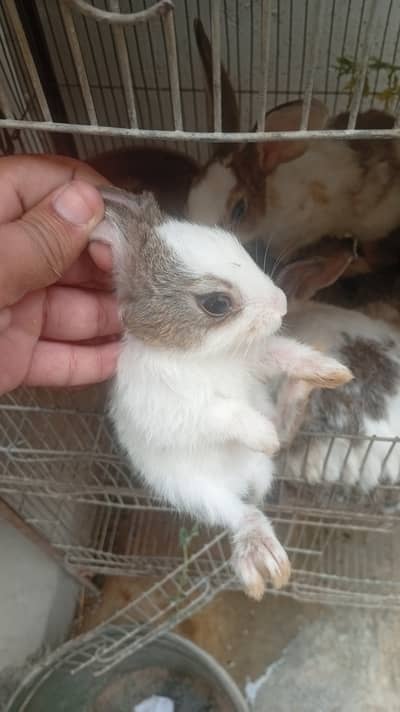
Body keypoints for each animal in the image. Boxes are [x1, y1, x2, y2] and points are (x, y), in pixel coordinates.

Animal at [89, 185, 352, 600]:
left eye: (233, 242)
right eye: (216, 303)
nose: (281, 302)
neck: (205, 356)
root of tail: (243, 481)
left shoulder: (257, 357)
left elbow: (285, 353)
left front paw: (330, 370)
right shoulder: (170, 408)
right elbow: (222, 414)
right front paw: (263, 436)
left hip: (259, 470)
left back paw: (302, 393)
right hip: (194, 490)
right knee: (243, 513)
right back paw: (262, 555)